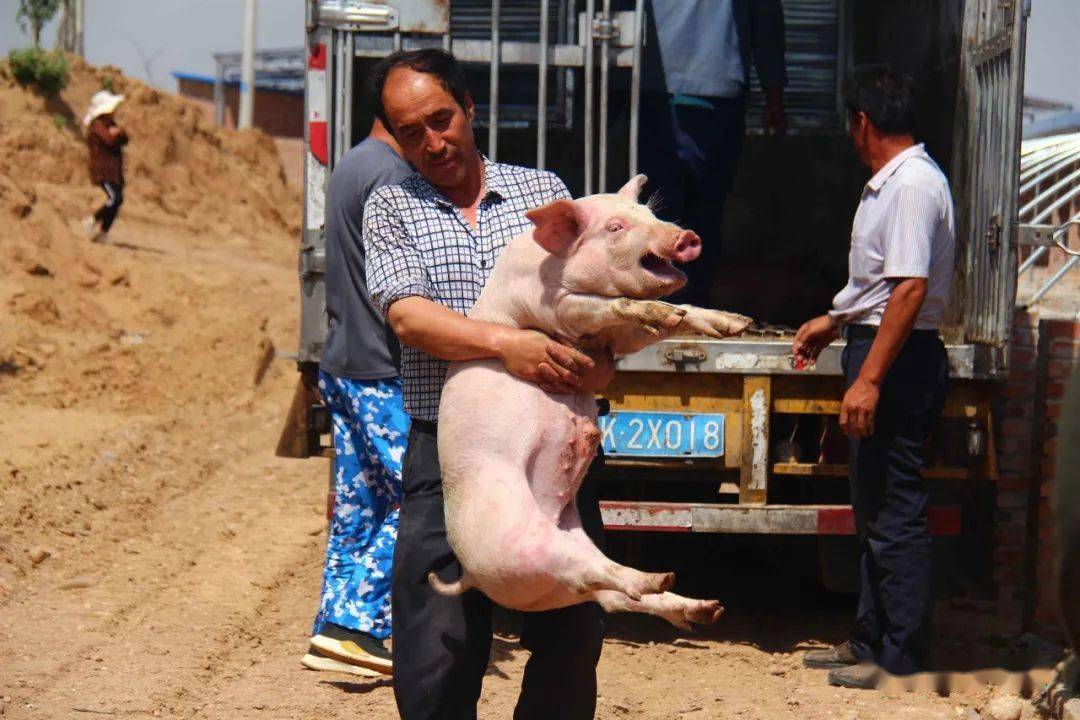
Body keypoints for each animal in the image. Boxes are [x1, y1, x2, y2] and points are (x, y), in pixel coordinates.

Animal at [429, 175, 751, 630]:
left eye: (649, 214)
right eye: (615, 227)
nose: (686, 237)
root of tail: (469, 575)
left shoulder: (619, 340)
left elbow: (679, 313)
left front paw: (735, 323)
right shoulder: (554, 305)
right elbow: (612, 304)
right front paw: (659, 312)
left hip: (564, 555)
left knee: (607, 593)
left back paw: (705, 608)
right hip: (520, 540)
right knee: (594, 573)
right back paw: (660, 578)